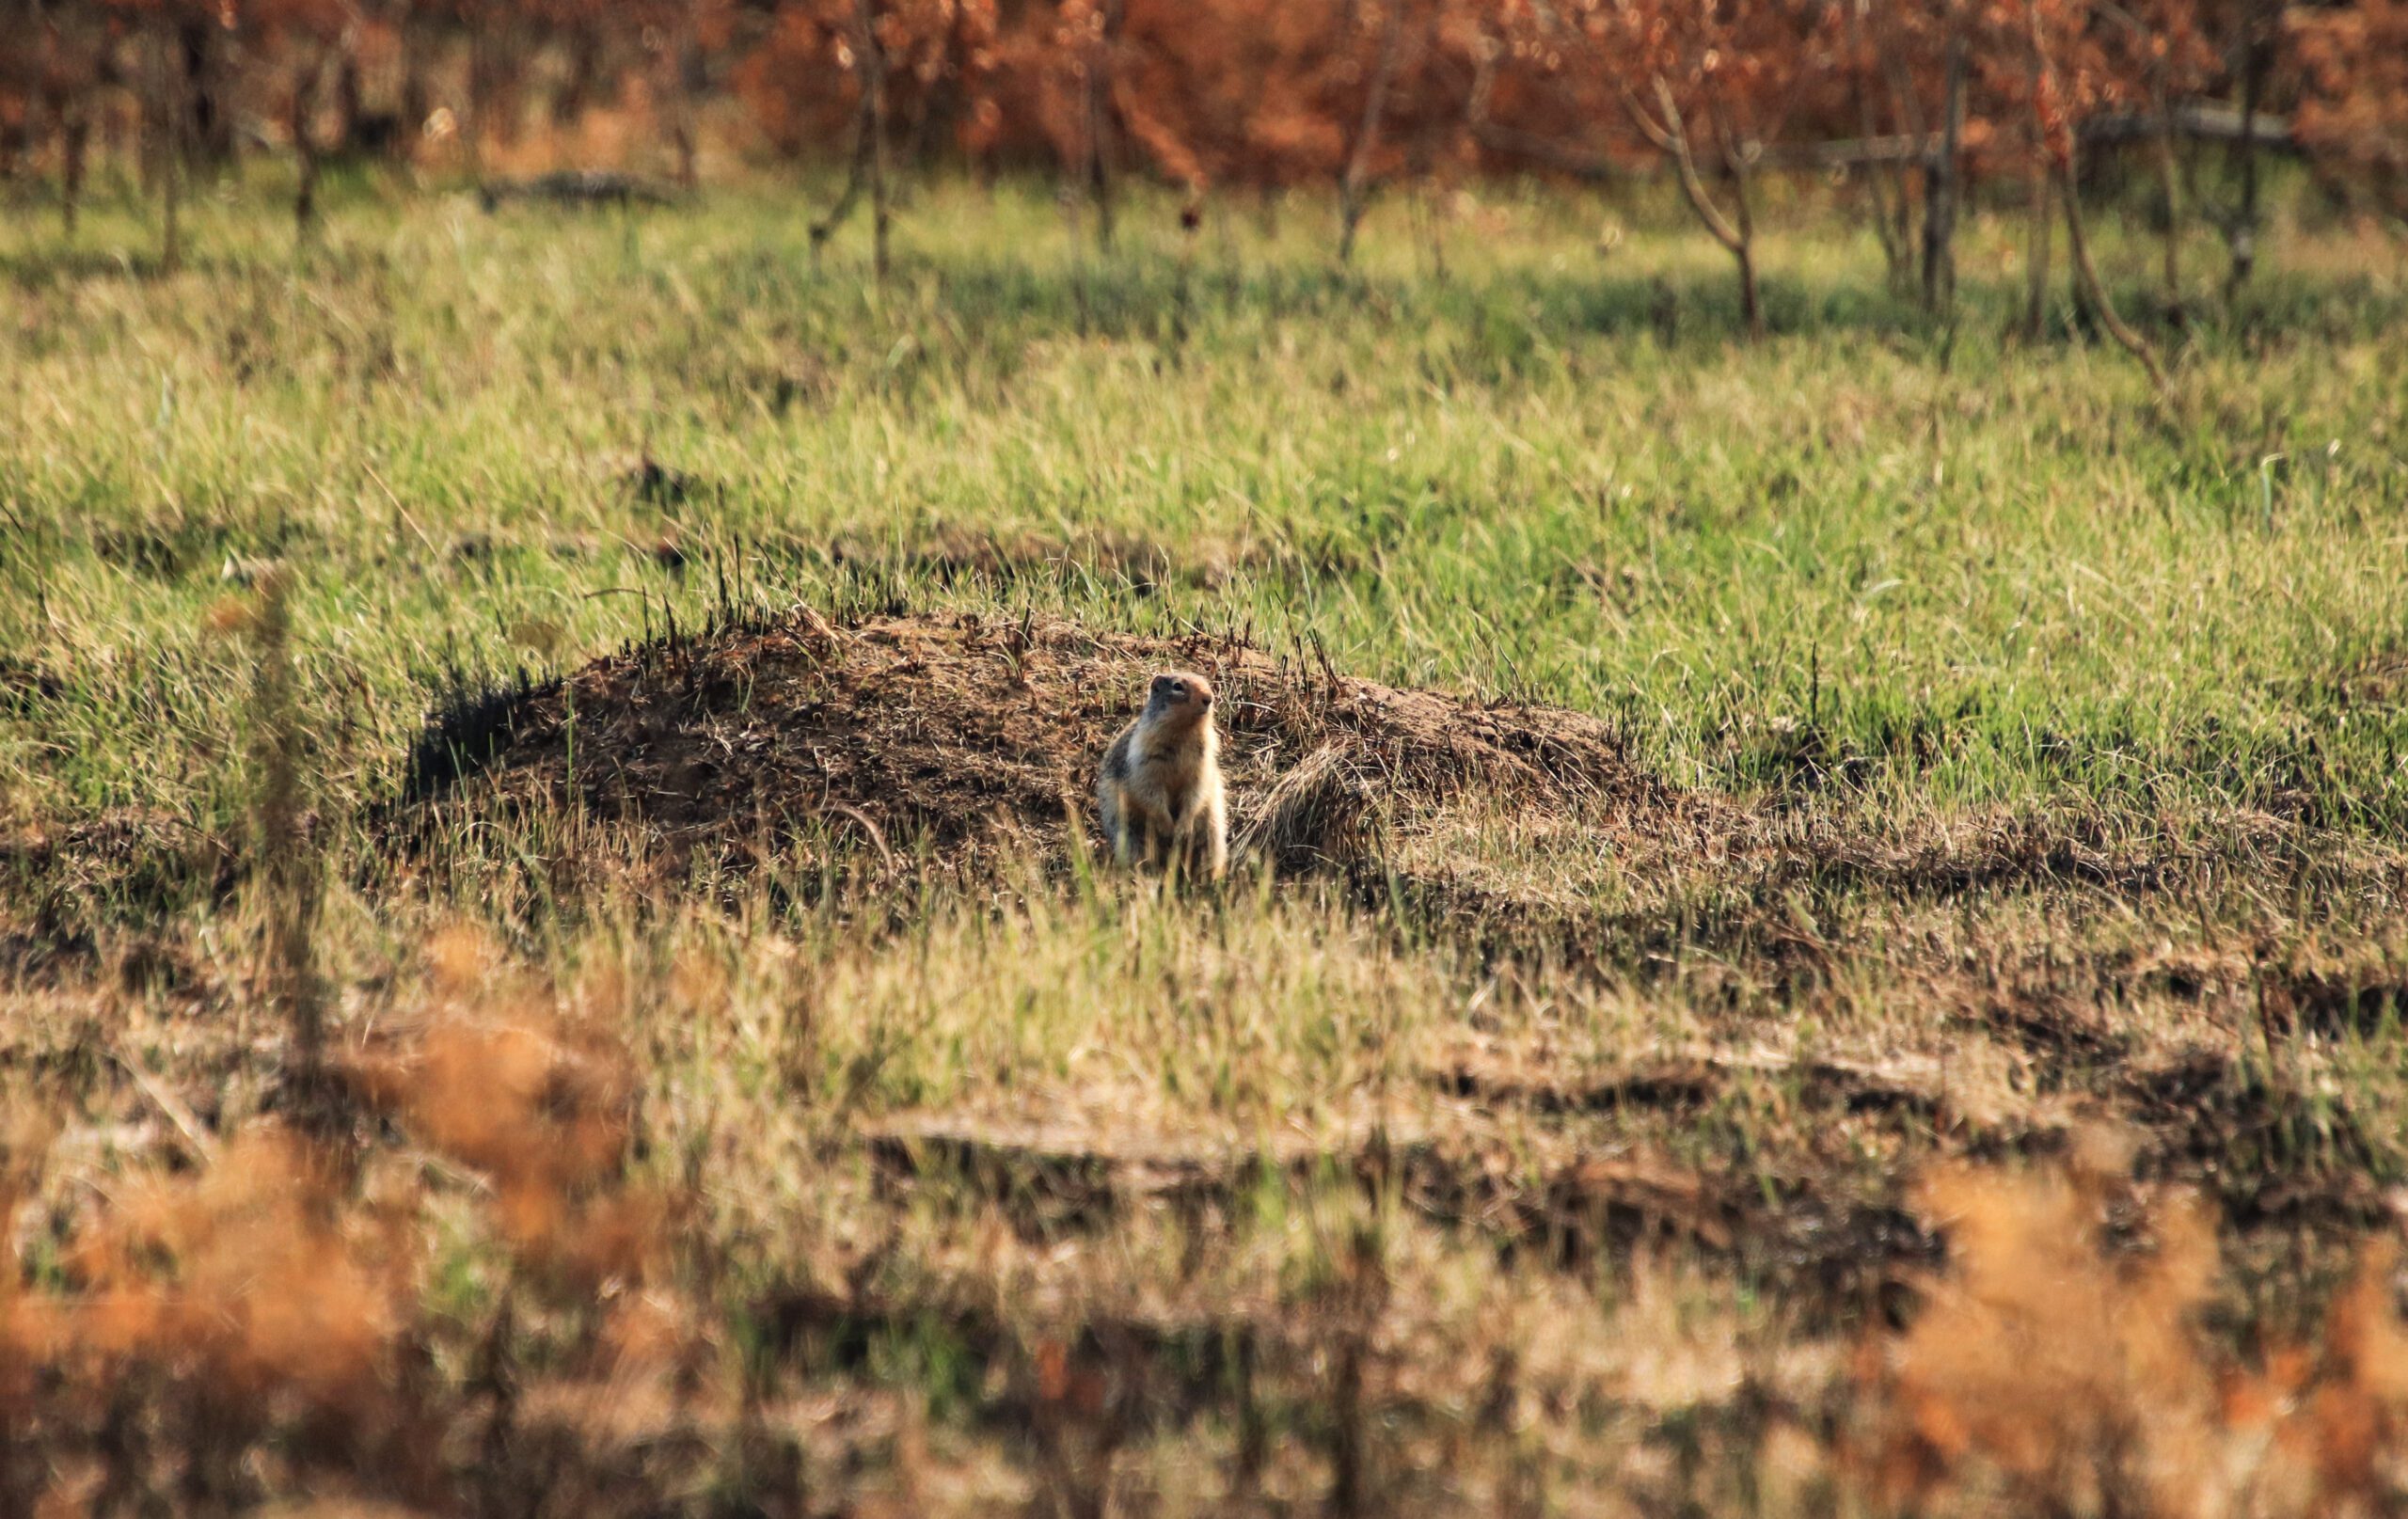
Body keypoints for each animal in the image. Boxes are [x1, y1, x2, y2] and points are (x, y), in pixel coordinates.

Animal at [1096, 670, 1228, 881]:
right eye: (1177, 686)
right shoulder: (1144, 762)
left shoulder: (1203, 763)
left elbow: (1195, 791)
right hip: (1128, 833)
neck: (1184, 731)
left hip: (1213, 830)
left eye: (1207, 683)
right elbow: (1150, 794)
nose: (1209, 698)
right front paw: (1168, 827)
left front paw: (1183, 828)